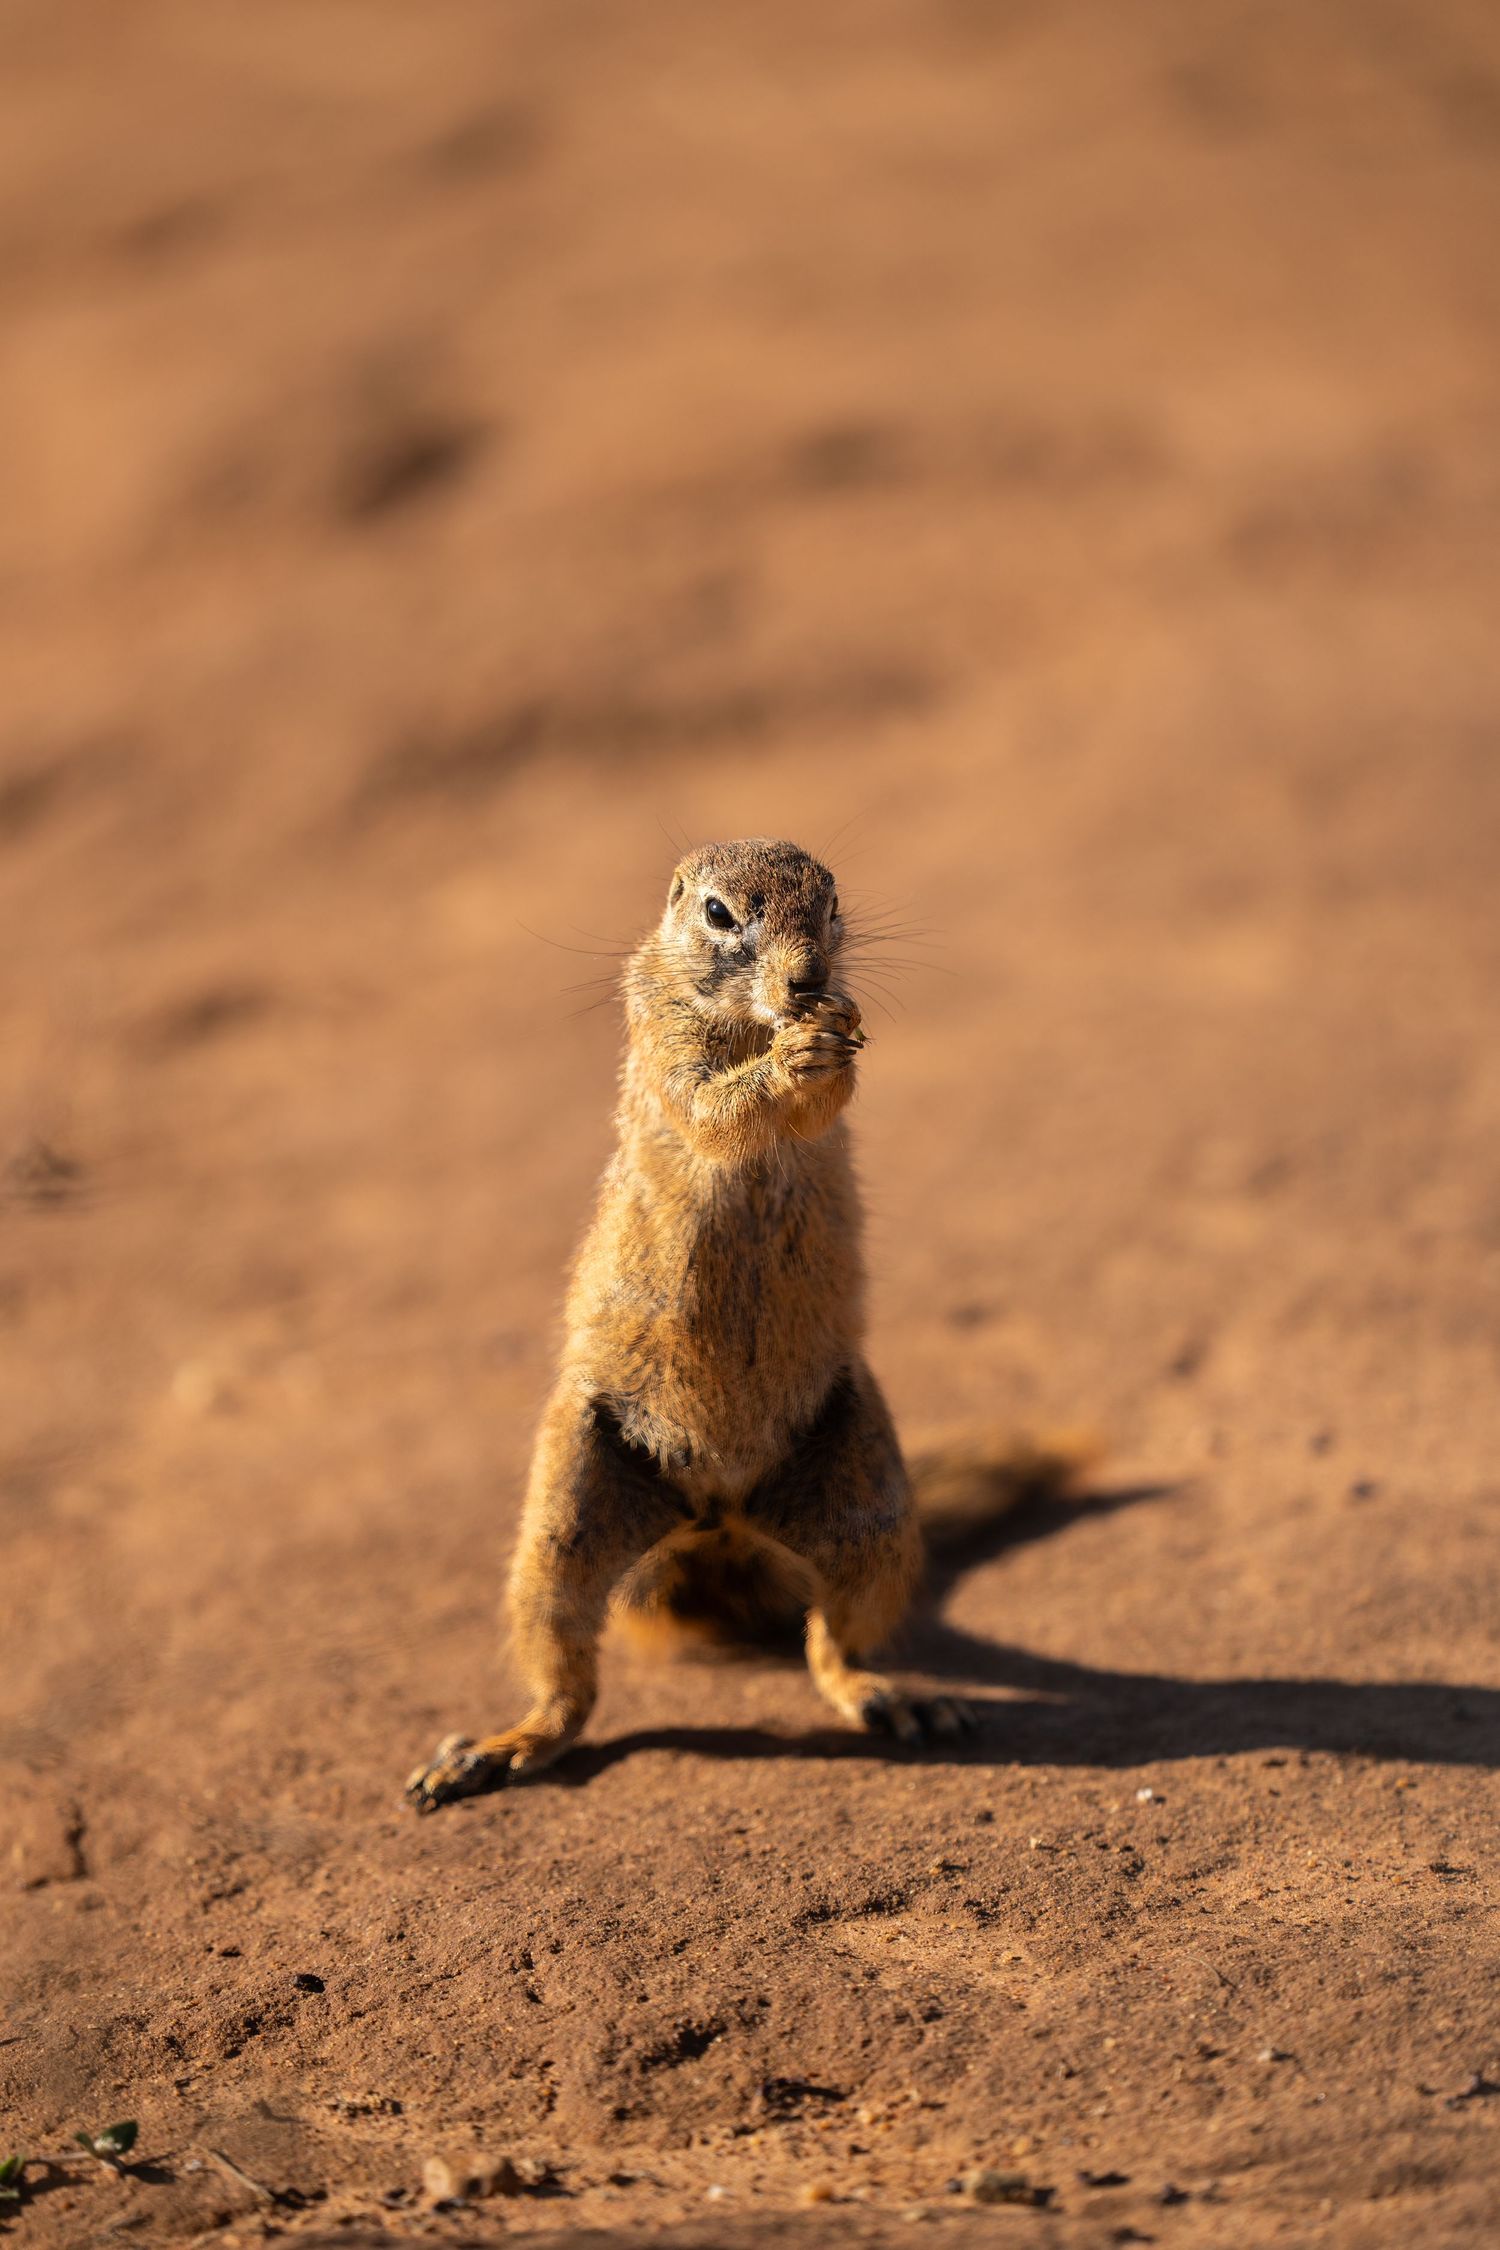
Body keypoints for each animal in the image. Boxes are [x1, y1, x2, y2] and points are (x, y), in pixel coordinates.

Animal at [406, 838, 1071, 1810]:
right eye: (719, 915)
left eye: (832, 903)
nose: (810, 978)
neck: (752, 1020)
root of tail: (717, 1513)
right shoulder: (663, 1039)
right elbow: (713, 1106)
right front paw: (792, 1060)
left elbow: (828, 1097)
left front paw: (829, 1035)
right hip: (567, 1513)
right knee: (567, 1679)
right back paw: (496, 1749)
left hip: (870, 1511)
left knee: (829, 1643)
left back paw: (893, 1699)